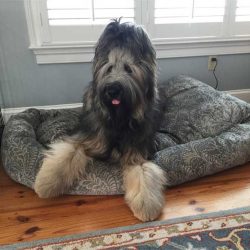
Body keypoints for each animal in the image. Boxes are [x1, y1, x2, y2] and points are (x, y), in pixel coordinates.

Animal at [33, 20, 166, 222]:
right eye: (109, 68)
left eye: (129, 69)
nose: (113, 90)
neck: (118, 118)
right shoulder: (86, 138)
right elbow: (66, 154)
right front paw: (46, 183)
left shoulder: (138, 152)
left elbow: (144, 173)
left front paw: (146, 205)